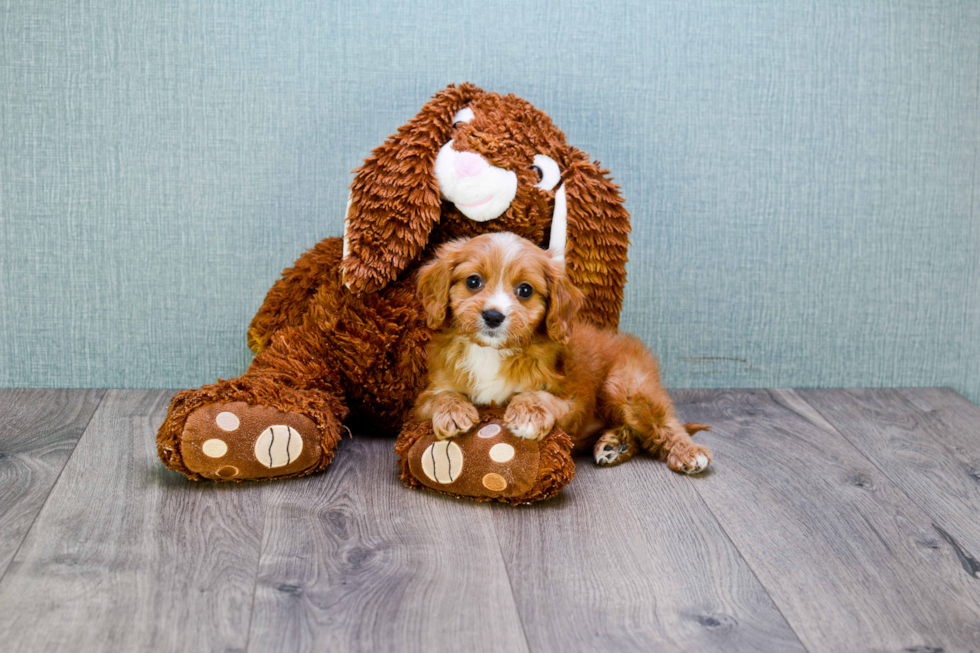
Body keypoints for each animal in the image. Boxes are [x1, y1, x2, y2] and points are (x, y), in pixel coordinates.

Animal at [414, 232, 712, 472]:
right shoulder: (422, 400)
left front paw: (528, 413)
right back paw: (616, 445)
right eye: (473, 282)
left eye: (525, 290)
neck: (492, 351)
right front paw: (453, 411)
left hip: (626, 386)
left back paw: (689, 452)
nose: (493, 316)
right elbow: (441, 396)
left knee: (667, 423)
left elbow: (539, 396)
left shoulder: (572, 400)